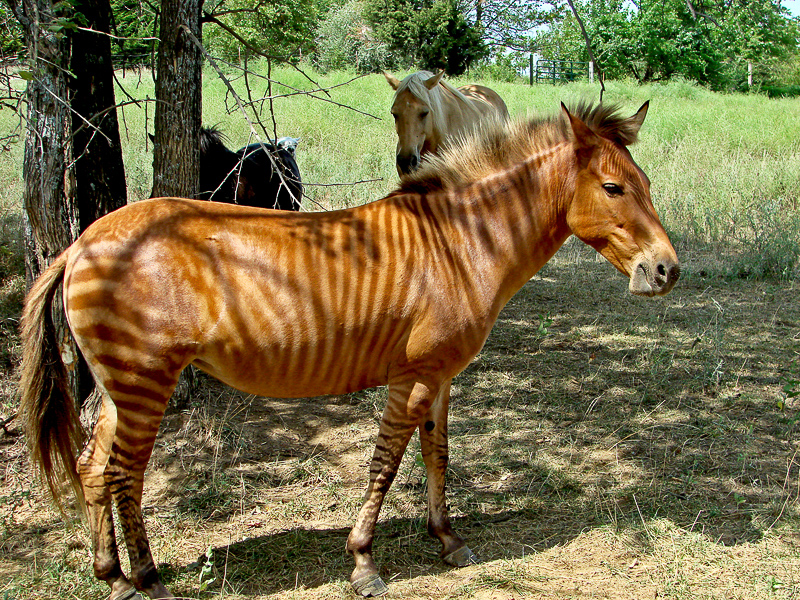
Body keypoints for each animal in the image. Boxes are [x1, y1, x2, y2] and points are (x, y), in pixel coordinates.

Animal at [20, 101, 676, 596]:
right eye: (614, 188)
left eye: (647, 185)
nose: (666, 271)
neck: (460, 245)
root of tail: (82, 243)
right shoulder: (412, 375)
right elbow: (385, 462)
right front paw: (363, 562)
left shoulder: (441, 373)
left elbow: (437, 455)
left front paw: (447, 539)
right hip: (143, 381)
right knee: (124, 473)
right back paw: (150, 579)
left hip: (119, 386)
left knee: (93, 467)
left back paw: (114, 578)